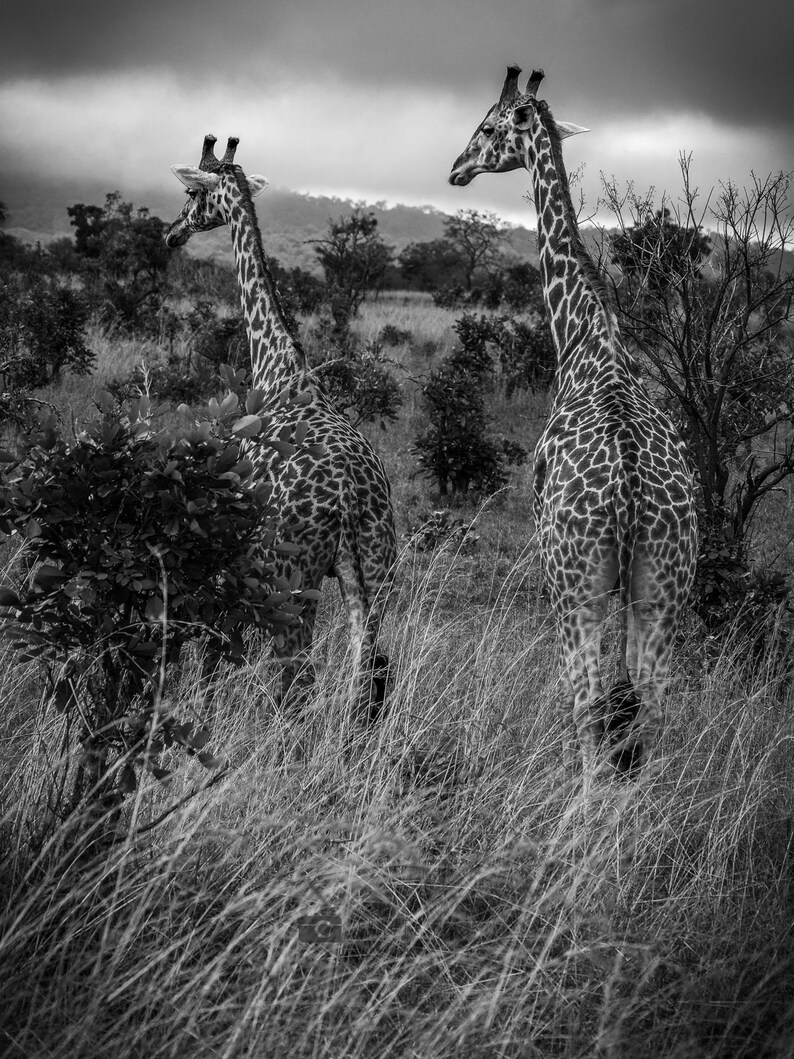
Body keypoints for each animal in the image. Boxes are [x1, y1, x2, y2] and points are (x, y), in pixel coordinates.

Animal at [165, 135, 396, 727]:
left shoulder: (239, 552)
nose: (171, 233)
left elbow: (217, 650)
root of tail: (350, 502)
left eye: (191, 194)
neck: (275, 366)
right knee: (374, 668)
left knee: (299, 679)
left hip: (295, 578)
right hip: (376, 570)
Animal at [450, 67, 697, 774]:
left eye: (487, 126)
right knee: (652, 710)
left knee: (587, 706)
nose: (455, 169)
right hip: (664, 587)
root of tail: (632, 494)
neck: (586, 338)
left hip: (575, 586)